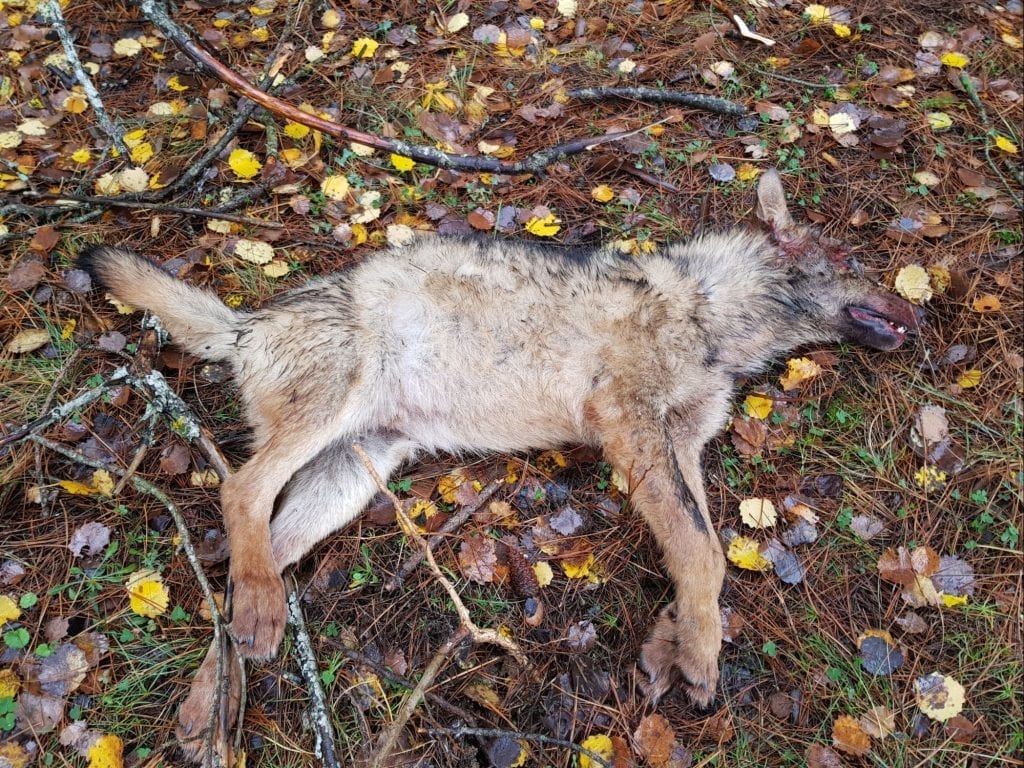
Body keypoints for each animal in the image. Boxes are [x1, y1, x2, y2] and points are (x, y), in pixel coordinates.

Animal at [78, 170, 918, 758]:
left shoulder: (678, 444)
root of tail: (249, 323)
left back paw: (209, 707)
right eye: (854, 261)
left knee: (242, 573)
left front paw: (673, 645)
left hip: (351, 476)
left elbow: (700, 549)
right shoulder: (628, 424)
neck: (712, 312)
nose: (919, 306)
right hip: (328, 423)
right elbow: (701, 550)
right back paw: (253, 621)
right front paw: (702, 657)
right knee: (237, 492)